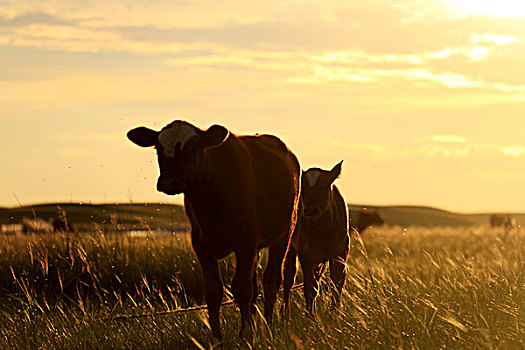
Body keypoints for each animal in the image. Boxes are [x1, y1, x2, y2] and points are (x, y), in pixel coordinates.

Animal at [126, 119, 298, 340]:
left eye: (193, 148)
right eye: (158, 149)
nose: (169, 182)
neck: (209, 199)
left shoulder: (245, 240)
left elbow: (242, 288)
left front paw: (246, 334)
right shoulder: (200, 243)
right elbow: (214, 290)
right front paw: (217, 337)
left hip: (283, 235)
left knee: (271, 281)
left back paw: (267, 326)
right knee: (256, 284)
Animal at [280, 161, 350, 314]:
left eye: (324, 186)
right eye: (304, 189)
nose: (311, 209)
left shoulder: (341, 252)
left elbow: (337, 284)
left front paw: (335, 314)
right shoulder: (307, 255)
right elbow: (310, 288)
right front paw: (311, 316)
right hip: (290, 248)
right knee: (288, 279)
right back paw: (284, 314)